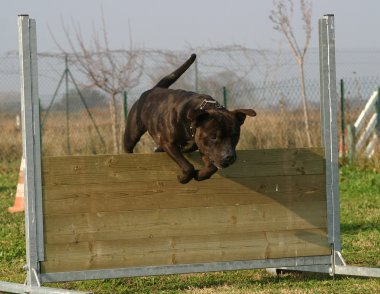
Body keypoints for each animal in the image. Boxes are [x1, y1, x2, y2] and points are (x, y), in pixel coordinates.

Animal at [123, 53, 256, 183]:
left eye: (235, 136)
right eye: (213, 136)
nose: (229, 157)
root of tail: (153, 89)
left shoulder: (203, 147)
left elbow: (212, 166)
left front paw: (200, 175)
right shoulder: (168, 143)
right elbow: (188, 166)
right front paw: (184, 178)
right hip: (132, 134)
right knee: (128, 147)